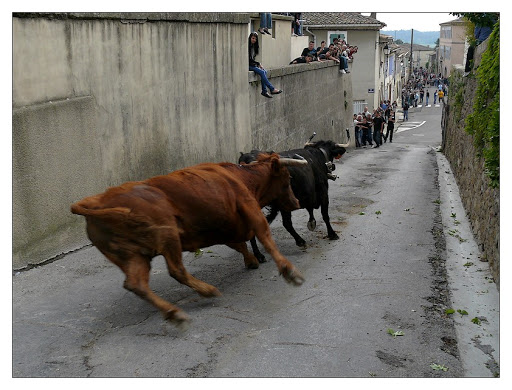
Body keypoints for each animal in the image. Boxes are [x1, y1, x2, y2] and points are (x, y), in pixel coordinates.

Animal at [71, 152, 304, 326]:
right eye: (287, 179)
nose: (296, 202)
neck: (241, 177)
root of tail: (97, 202)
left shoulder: (225, 224)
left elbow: (239, 244)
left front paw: (252, 261)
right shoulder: (248, 206)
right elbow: (264, 236)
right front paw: (288, 270)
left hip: (132, 255)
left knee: (136, 284)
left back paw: (174, 313)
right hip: (168, 235)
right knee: (176, 271)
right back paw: (207, 291)